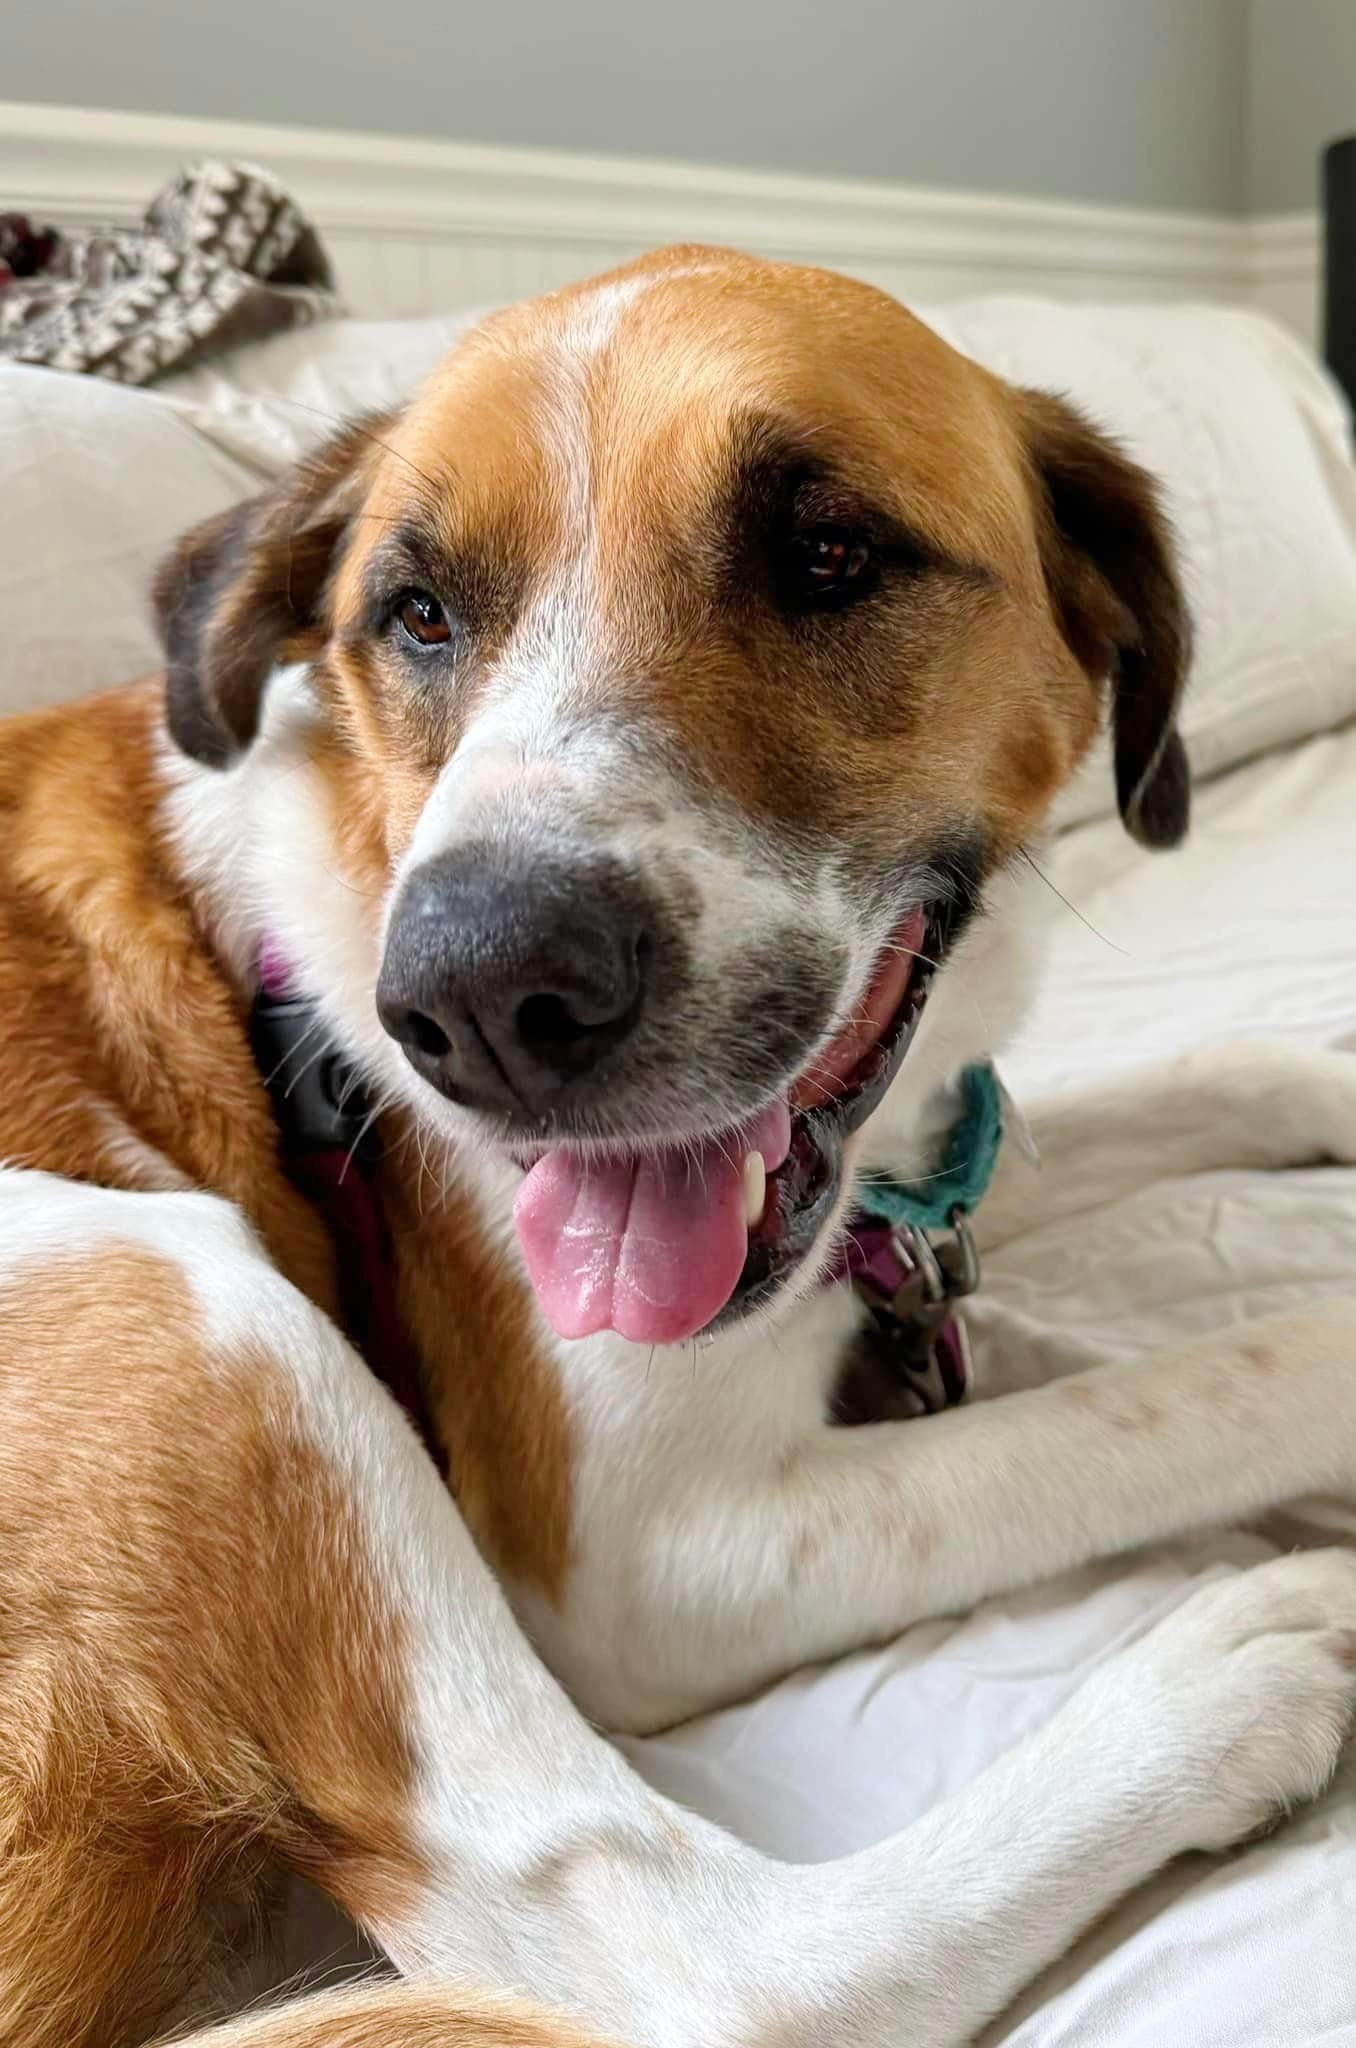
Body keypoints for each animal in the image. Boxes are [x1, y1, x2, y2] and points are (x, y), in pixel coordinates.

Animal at [2, 251, 1356, 2048]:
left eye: (828, 555)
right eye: (416, 613)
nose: (481, 998)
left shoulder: (911, 1165)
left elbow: (1192, 1073)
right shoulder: (649, 1554)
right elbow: (1231, 1374)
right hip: (153, 1278)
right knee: (674, 1953)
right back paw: (1234, 1670)